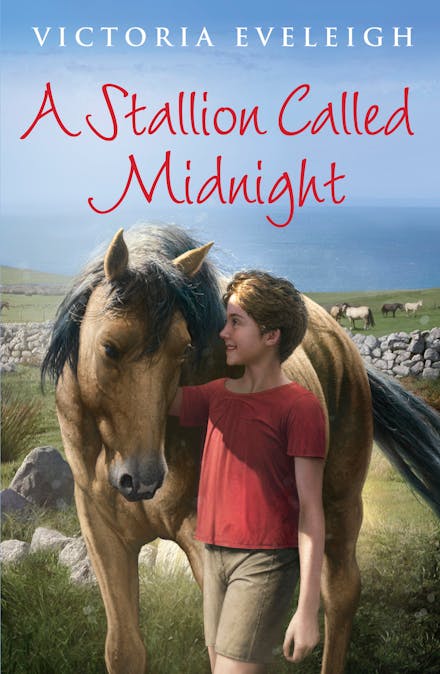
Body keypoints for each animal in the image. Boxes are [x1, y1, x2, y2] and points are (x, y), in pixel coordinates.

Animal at [42, 225, 440, 674]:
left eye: (183, 350)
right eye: (109, 348)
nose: (142, 480)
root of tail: (340, 339)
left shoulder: (209, 543)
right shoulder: (103, 531)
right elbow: (124, 649)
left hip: (340, 501)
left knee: (339, 592)